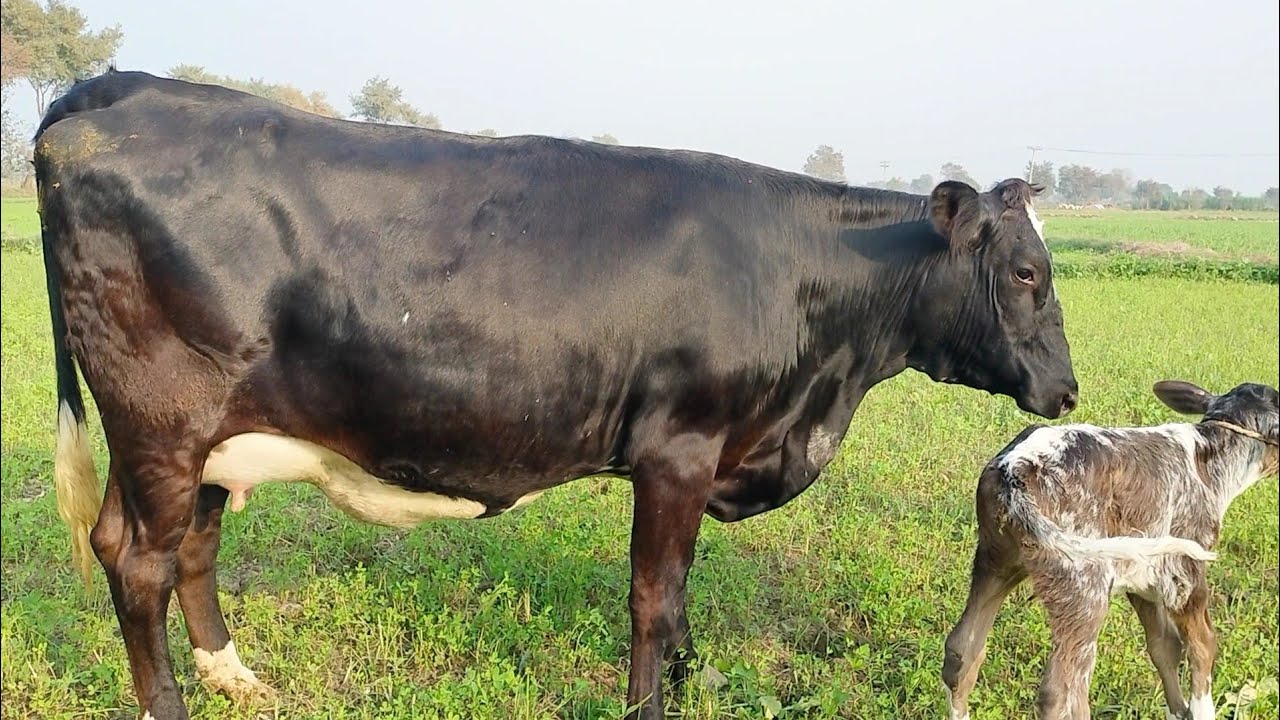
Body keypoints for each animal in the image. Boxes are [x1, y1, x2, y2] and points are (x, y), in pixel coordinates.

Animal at [34, 68, 1077, 720]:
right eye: (1027, 272)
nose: (1067, 389)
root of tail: (115, 90)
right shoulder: (679, 447)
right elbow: (655, 596)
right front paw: (653, 701)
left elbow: (680, 596)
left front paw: (692, 682)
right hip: (162, 419)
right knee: (139, 563)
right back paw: (170, 706)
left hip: (202, 434)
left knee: (183, 547)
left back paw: (238, 681)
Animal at [942, 380, 1279, 720]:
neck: (1210, 460)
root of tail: (1016, 470)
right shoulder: (1184, 571)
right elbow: (1202, 646)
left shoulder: (1142, 578)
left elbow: (1164, 646)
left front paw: (1178, 711)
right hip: (1083, 584)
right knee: (1061, 689)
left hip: (996, 559)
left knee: (962, 651)